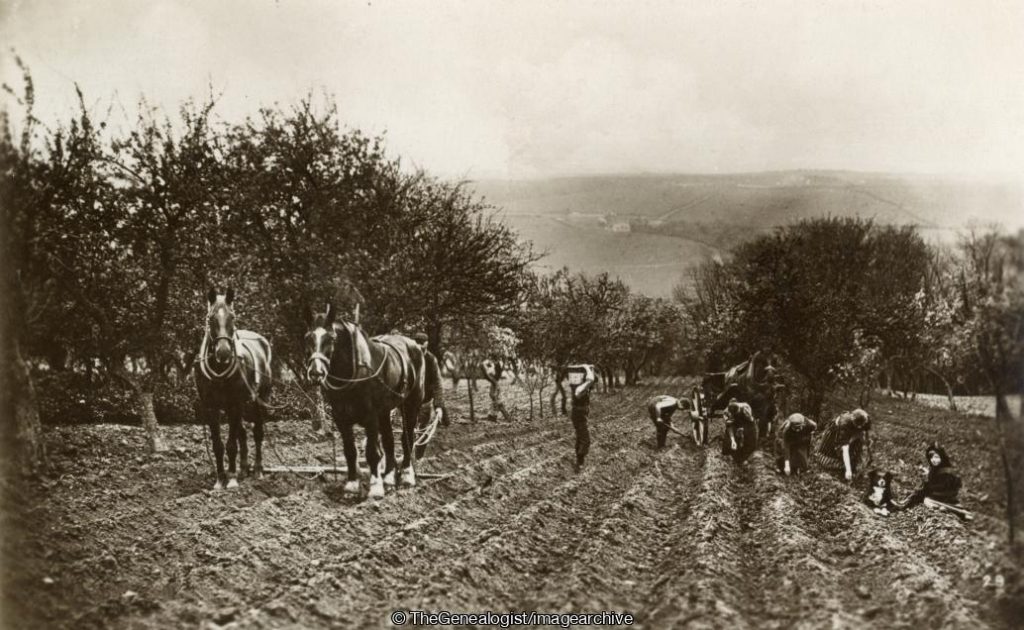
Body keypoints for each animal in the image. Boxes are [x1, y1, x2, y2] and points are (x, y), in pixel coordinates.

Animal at [194, 288, 272, 489]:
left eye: (233, 317)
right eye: (210, 318)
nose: (223, 352)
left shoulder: (234, 404)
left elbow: (231, 444)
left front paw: (231, 479)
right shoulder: (211, 407)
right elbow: (218, 445)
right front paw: (220, 479)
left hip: (259, 400)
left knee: (257, 433)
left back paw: (257, 470)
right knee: (242, 433)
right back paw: (243, 469)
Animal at [303, 303, 440, 499]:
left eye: (331, 338)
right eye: (308, 338)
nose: (316, 373)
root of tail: (415, 346)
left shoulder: (370, 417)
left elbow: (372, 453)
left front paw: (375, 487)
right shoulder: (341, 418)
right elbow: (350, 451)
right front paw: (352, 484)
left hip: (411, 405)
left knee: (408, 438)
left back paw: (407, 476)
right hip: (385, 411)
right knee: (389, 441)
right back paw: (389, 477)